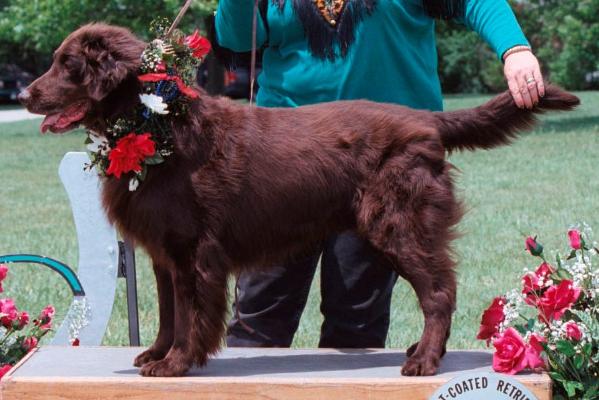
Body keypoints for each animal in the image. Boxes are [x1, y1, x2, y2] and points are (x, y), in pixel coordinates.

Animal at [21, 23, 580, 376]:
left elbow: (191, 314)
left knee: (439, 291)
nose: (25, 95)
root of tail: (426, 120)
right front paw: (155, 355)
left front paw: (175, 364)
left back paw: (424, 361)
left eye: (67, 65)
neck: (156, 123)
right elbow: (166, 312)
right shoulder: (164, 251)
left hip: (397, 224)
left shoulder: (193, 251)